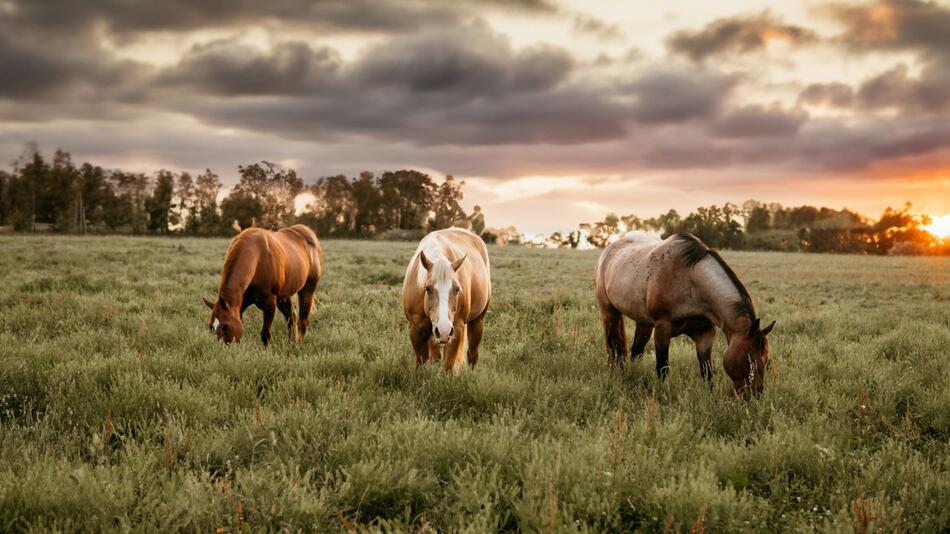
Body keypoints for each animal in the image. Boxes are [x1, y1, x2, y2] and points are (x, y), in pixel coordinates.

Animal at [402, 227, 490, 372]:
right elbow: (421, 362)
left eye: (457, 289)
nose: (443, 330)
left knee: (472, 353)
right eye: (427, 289)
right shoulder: (415, 329)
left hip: (478, 321)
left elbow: (448, 367)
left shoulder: (456, 330)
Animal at [600, 233, 776, 398]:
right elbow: (662, 367)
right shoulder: (662, 329)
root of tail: (610, 249)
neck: (690, 281)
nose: (755, 395)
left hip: (644, 322)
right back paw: (618, 373)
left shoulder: (705, 334)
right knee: (614, 345)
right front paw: (663, 394)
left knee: (636, 351)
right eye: (749, 359)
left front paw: (709, 397)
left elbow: (706, 371)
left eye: (765, 358)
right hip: (609, 312)